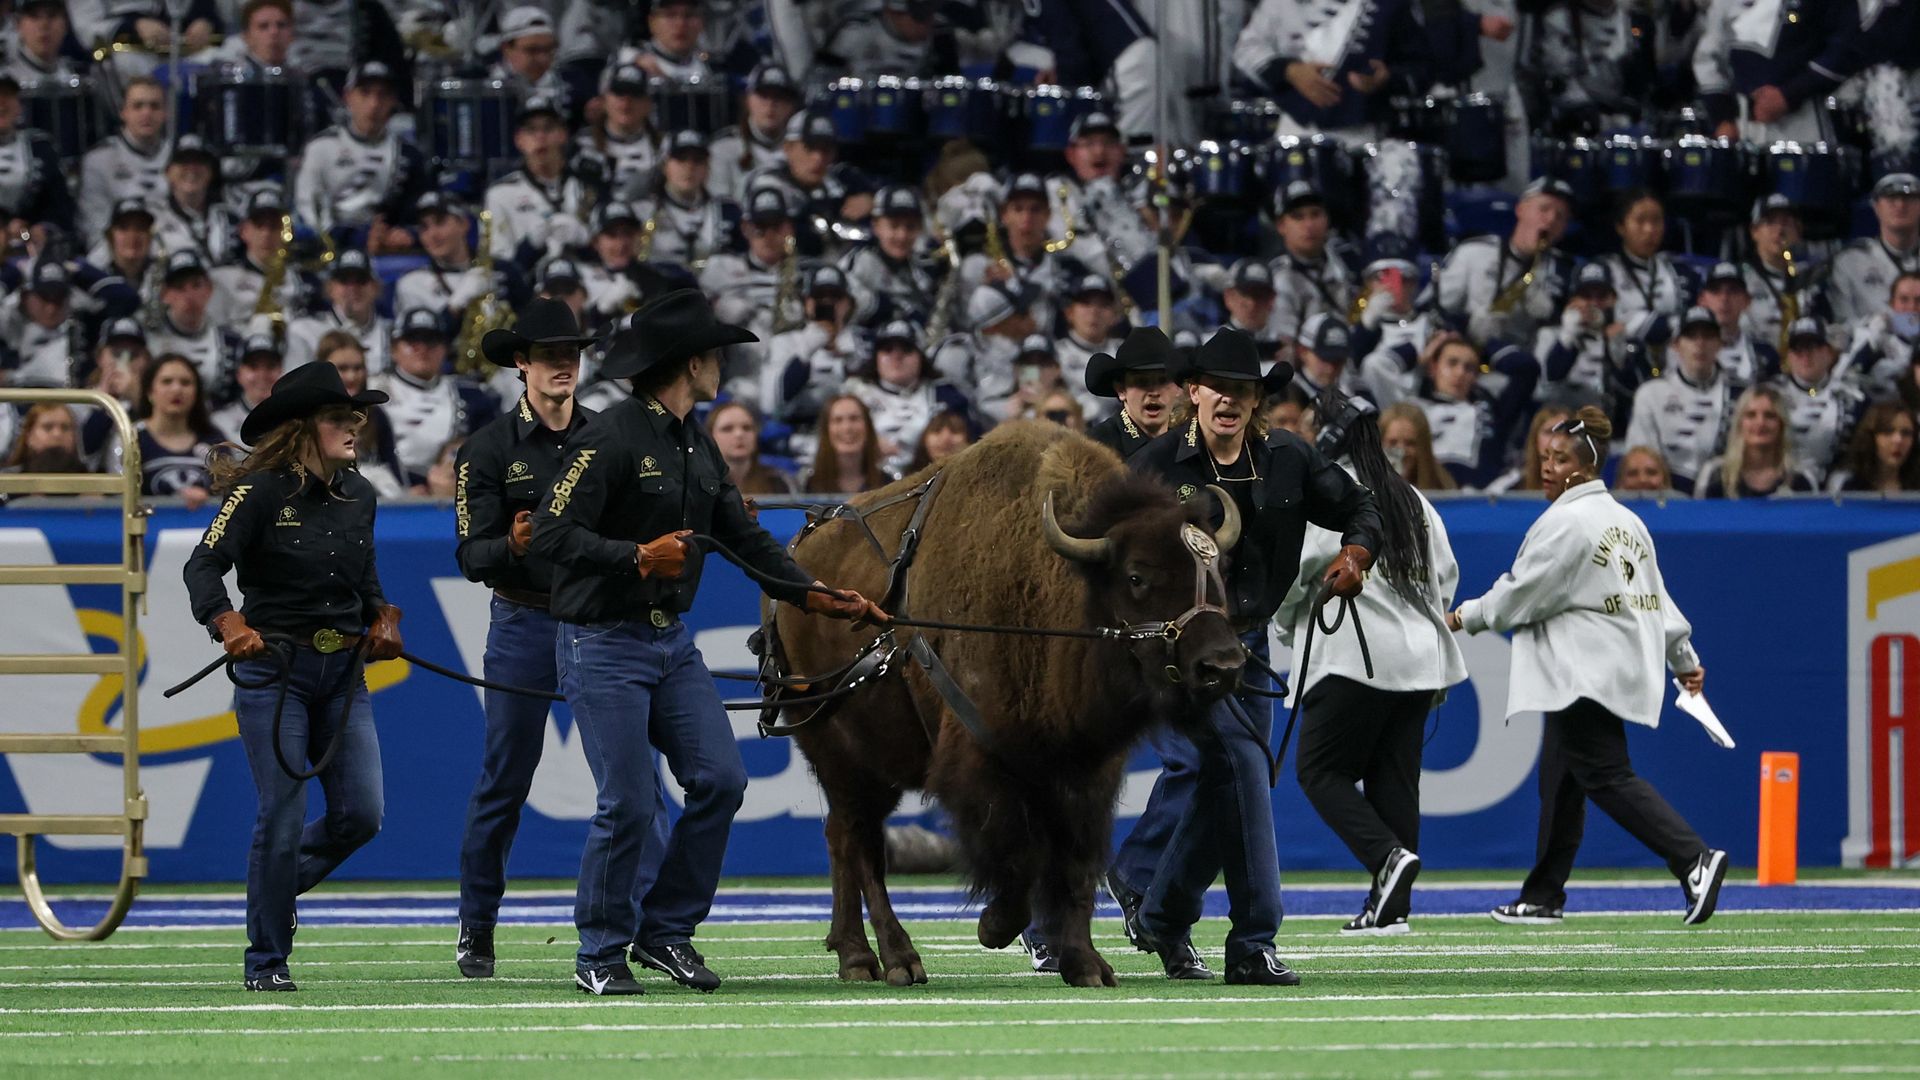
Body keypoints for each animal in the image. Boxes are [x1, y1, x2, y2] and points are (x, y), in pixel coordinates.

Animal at [770, 421, 1245, 987]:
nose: (1222, 665)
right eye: (1136, 575)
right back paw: (897, 960)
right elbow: (1018, 857)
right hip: (842, 756)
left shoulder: (1086, 773)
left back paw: (855, 957)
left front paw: (1088, 966)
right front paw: (994, 928)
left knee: (842, 838)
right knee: (862, 845)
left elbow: (1076, 870)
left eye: (1218, 569)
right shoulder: (982, 760)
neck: (1051, 586)